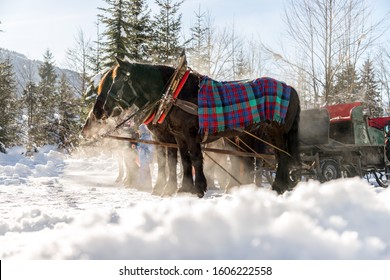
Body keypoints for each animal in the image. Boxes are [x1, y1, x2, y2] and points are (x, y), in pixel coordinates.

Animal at [86, 57, 298, 197]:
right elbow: (180, 160)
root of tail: (291, 88)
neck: (173, 94)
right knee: (251, 160)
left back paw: (278, 186)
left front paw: (198, 188)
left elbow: (194, 159)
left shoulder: (189, 134)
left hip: (275, 132)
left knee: (281, 157)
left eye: (115, 82)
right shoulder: (175, 136)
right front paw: (179, 188)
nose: (100, 111)